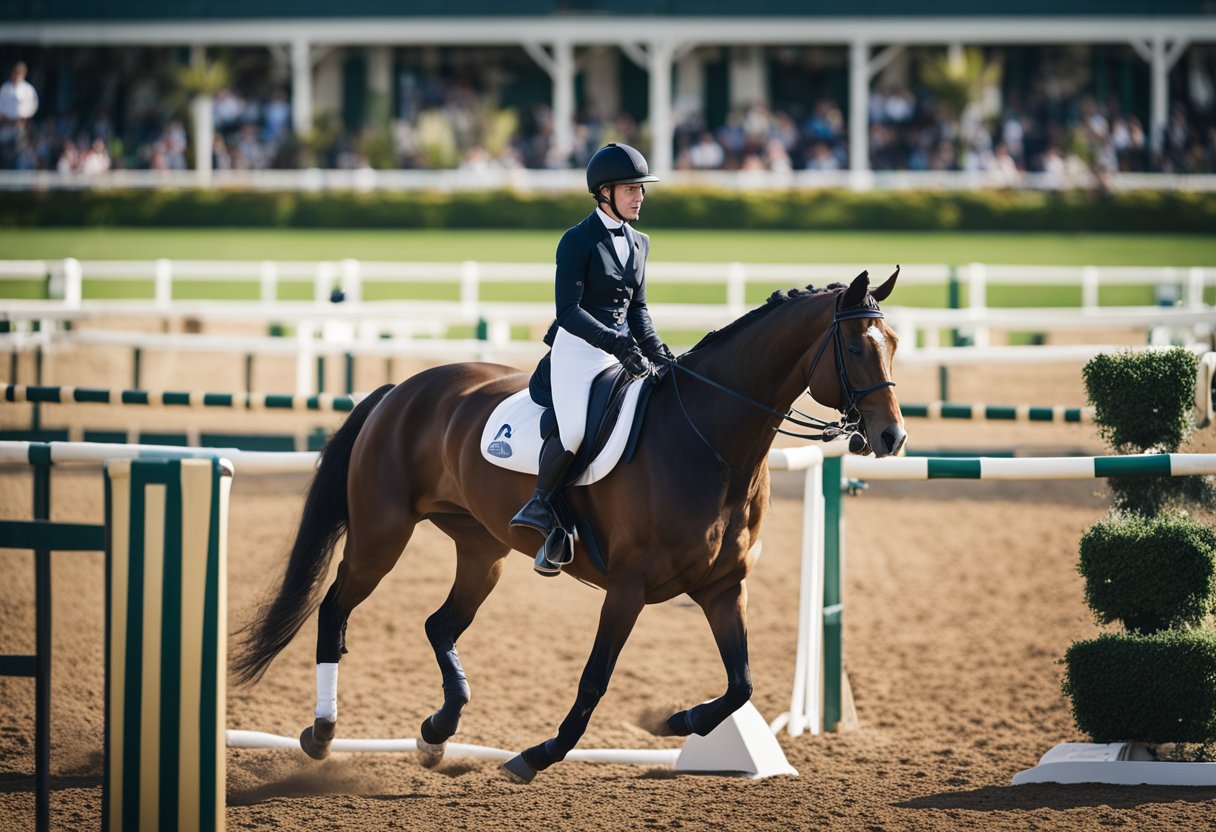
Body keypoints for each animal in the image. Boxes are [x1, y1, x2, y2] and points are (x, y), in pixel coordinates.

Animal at [232, 267, 907, 783]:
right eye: (855, 348)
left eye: (894, 342)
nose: (891, 438)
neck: (709, 441)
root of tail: (401, 389)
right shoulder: (628, 588)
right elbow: (593, 680)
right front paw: (536, 756)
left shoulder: (722, 588)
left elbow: (740, 683)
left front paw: (678, 722)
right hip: (381, 536)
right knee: (334, 610)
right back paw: (323, 734)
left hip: (482, 551)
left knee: (438, 624)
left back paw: (435, 733)